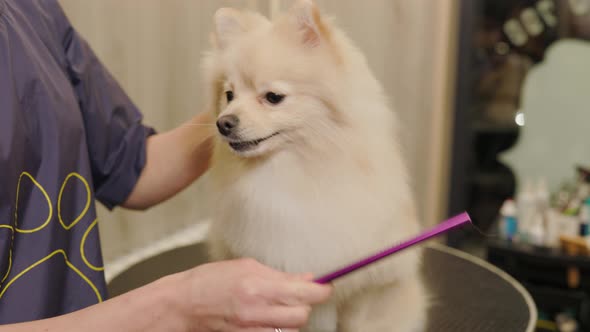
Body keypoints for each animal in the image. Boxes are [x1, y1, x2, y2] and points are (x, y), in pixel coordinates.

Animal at [206, 1, 428, 330]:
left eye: (273, 97)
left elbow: (356, 321)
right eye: (229, 95)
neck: (292, 172)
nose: (224, 123)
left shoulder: (366, 286)